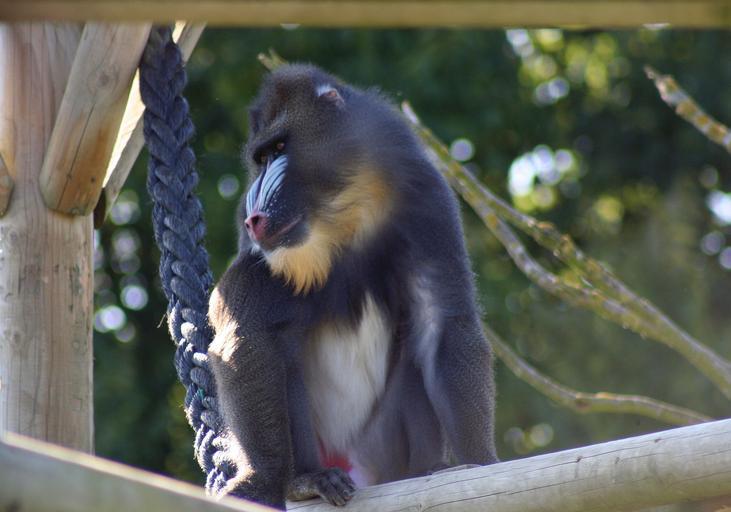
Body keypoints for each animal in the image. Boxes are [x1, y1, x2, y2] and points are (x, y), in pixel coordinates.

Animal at [207, 63, 498, 510]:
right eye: (261, 158)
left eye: (280, 147)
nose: (254, 216)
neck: (351, 210)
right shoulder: (260, 258)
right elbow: (247, 334)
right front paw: (263, 481)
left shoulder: (427, 199)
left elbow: (443, 323)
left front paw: (482, 463)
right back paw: (304, 481)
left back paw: (428, 469)